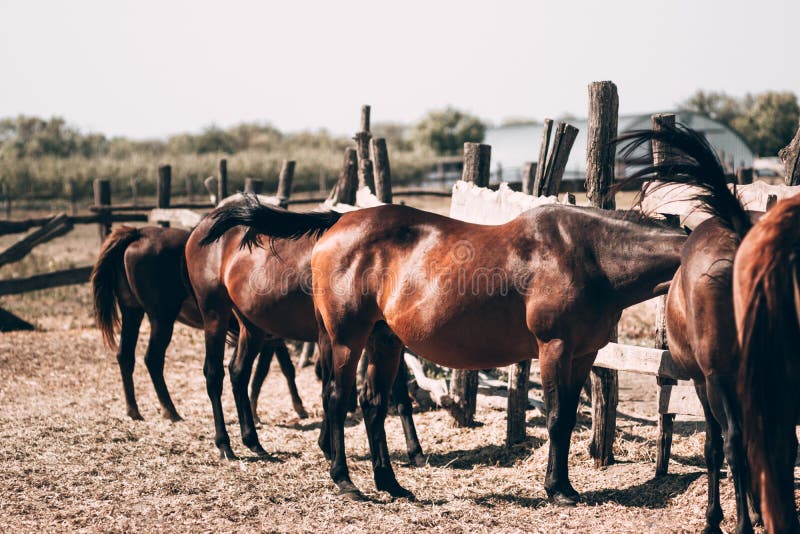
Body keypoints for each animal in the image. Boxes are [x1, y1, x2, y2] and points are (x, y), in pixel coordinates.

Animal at [90, 228, 306, 426]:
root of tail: (138, 233)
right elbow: (264, 372)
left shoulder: (271, 337)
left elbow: (286, 367)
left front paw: (297, 407)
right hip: (162, 318)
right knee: (152, 359)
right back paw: (170, 410)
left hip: (132, 312)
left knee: (125, 356)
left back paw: (133, 410)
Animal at [188, 207, 424, 466]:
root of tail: (200, 228)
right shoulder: (334, 339)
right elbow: (330, 389)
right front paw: (328, 447)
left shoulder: (384, 340)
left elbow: (399, 394)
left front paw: (415, 450)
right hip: (215, 316)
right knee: (214, 374)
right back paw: (224, 445)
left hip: (251, 327)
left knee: (238, 373)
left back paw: (253, 442)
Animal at [620, 124, 764, 532]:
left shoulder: (705, 381)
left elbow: (715, 446)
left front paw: (715, 516)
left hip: (717, 380)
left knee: (733, 443)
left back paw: (740, 522)